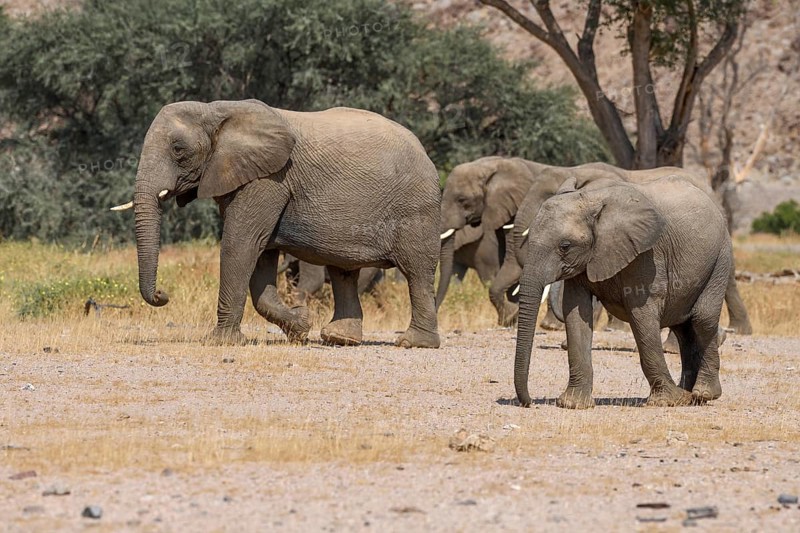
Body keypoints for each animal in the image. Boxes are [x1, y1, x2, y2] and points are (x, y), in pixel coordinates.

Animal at [112, 99, 441, 348]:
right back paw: (338, 338)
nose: (162, 295)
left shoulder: (268, 179)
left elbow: (241, 244)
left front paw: (220, 342)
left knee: (416, 272)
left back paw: (414, 343)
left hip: (417, 209)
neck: (215, 110)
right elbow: (261, 258)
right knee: (343, 272)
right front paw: (301, 327)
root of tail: (425, 152)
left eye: (178, 150)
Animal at [514, 174, 731, 409]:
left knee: (702, 319)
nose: (530, 403)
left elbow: (641, 314)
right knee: (683, 327)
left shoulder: (646, 254)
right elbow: (575, 313)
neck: (591, 199)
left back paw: (704, 394)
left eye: (565, 246)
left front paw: (668, 400)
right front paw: (573, 404)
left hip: (720, 258)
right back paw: (689, 395)